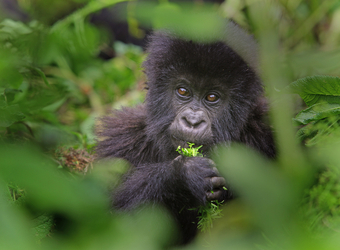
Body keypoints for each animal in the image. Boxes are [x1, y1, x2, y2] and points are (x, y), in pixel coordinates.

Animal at [95, 23, 274, 244]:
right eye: (183, 91)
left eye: (212, 97)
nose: (192, 121)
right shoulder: (120, 141)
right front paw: (183, 177)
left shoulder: (268, 130)